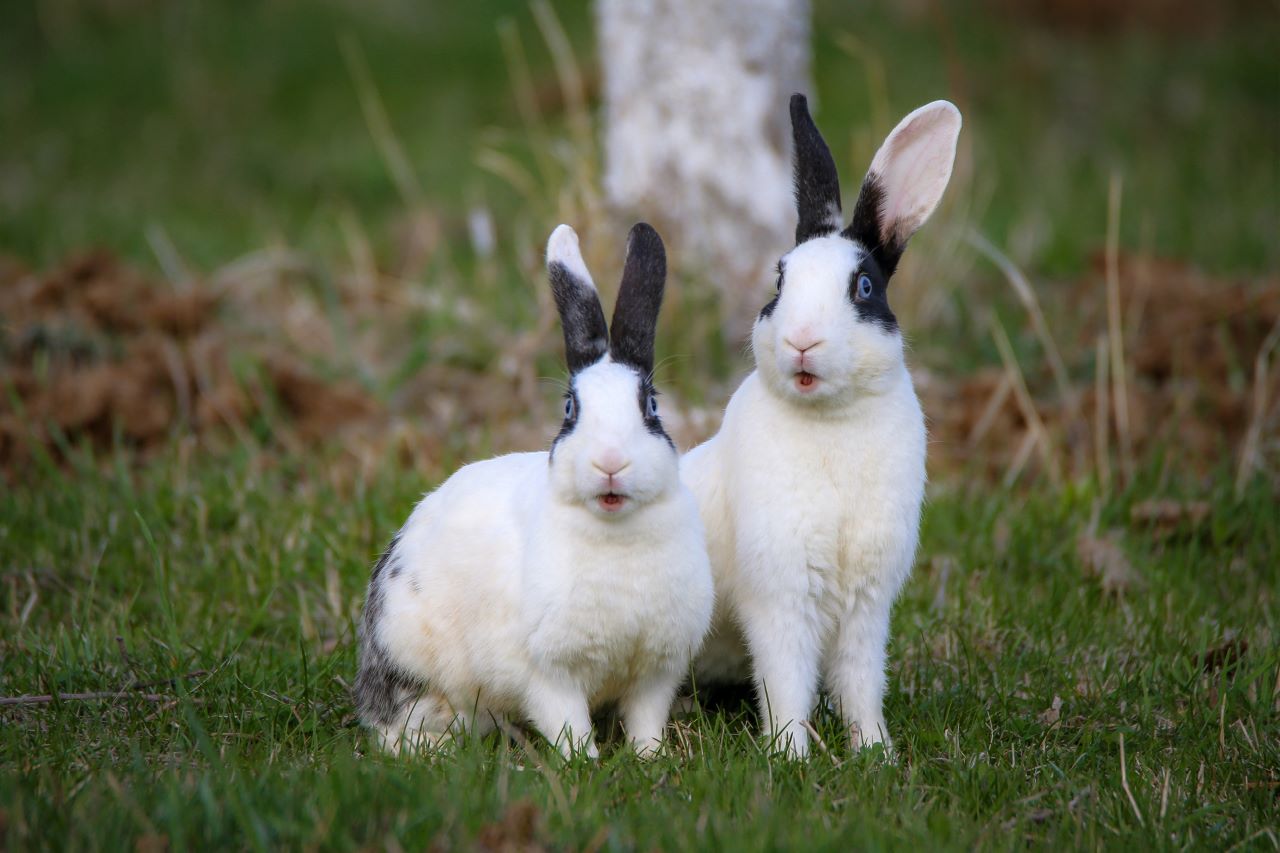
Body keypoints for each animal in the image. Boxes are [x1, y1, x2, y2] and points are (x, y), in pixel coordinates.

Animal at [354, 222, 714, 759]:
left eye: (651, 406)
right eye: (569, 410)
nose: (610, 462)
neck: (617, 534)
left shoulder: (655, 672)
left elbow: (646, 720)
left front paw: (651, 758)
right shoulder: (547, 675)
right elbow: (566, 721)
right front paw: (584, 763)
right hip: (412, 667)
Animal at [682, 94, 961, 757]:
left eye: (863, 287)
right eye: (779, 281)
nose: (802, 341)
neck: (831, 418)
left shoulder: (866, 602)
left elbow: (860, 678)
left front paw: (875, 752)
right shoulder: (781, 595)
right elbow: (786, 678)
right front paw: (789, 753)